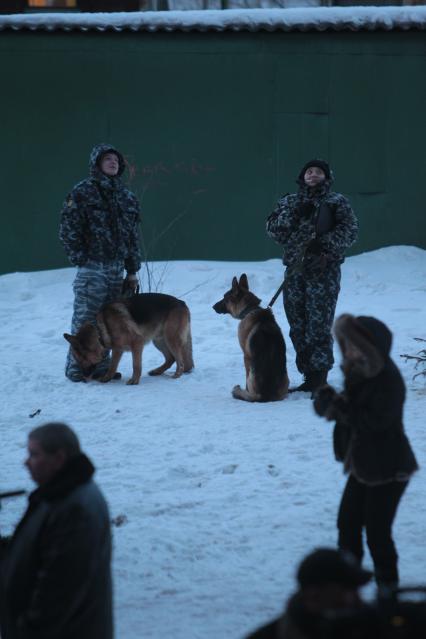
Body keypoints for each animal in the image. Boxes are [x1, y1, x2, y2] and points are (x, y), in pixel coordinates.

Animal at [63, 294, 195, 384]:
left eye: (81, 360)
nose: (83, 380)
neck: (100, 330)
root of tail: (182, 303)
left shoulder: (137, 343)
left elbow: (135, 365)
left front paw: (134, 380)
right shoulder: (118, 349)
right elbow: (112, 366)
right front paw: (107, 378)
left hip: (170, 339)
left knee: (180, 361)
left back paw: (177, 375)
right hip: (159, 341)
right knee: (171, 358)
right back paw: (157, 371)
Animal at [213, 274, 290, 402]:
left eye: (224, 298)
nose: (213, 307)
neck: (250, 309)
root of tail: (264, 396)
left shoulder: (246, 356)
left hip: (251, 375)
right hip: (286, 379)